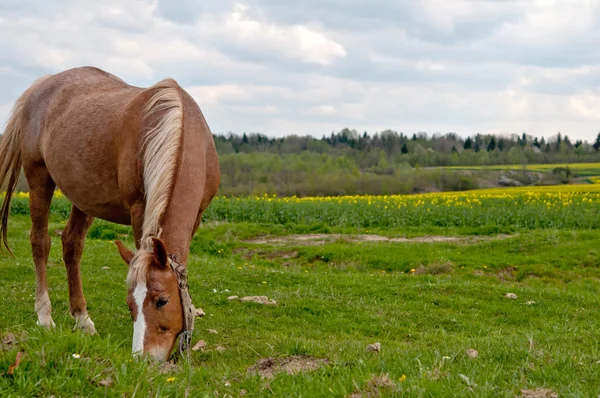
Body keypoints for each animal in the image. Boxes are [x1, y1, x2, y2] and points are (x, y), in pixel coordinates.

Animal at [0, 67, 220, 360]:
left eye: (162, 301)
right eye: (130, 304)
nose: (144, 358)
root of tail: (41, 86)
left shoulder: (196, 215)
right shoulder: (140, 209)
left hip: (83, 198)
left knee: (71, 245)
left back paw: (82, 319)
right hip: (39, 178)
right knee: (40, 243)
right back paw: (45, 316)